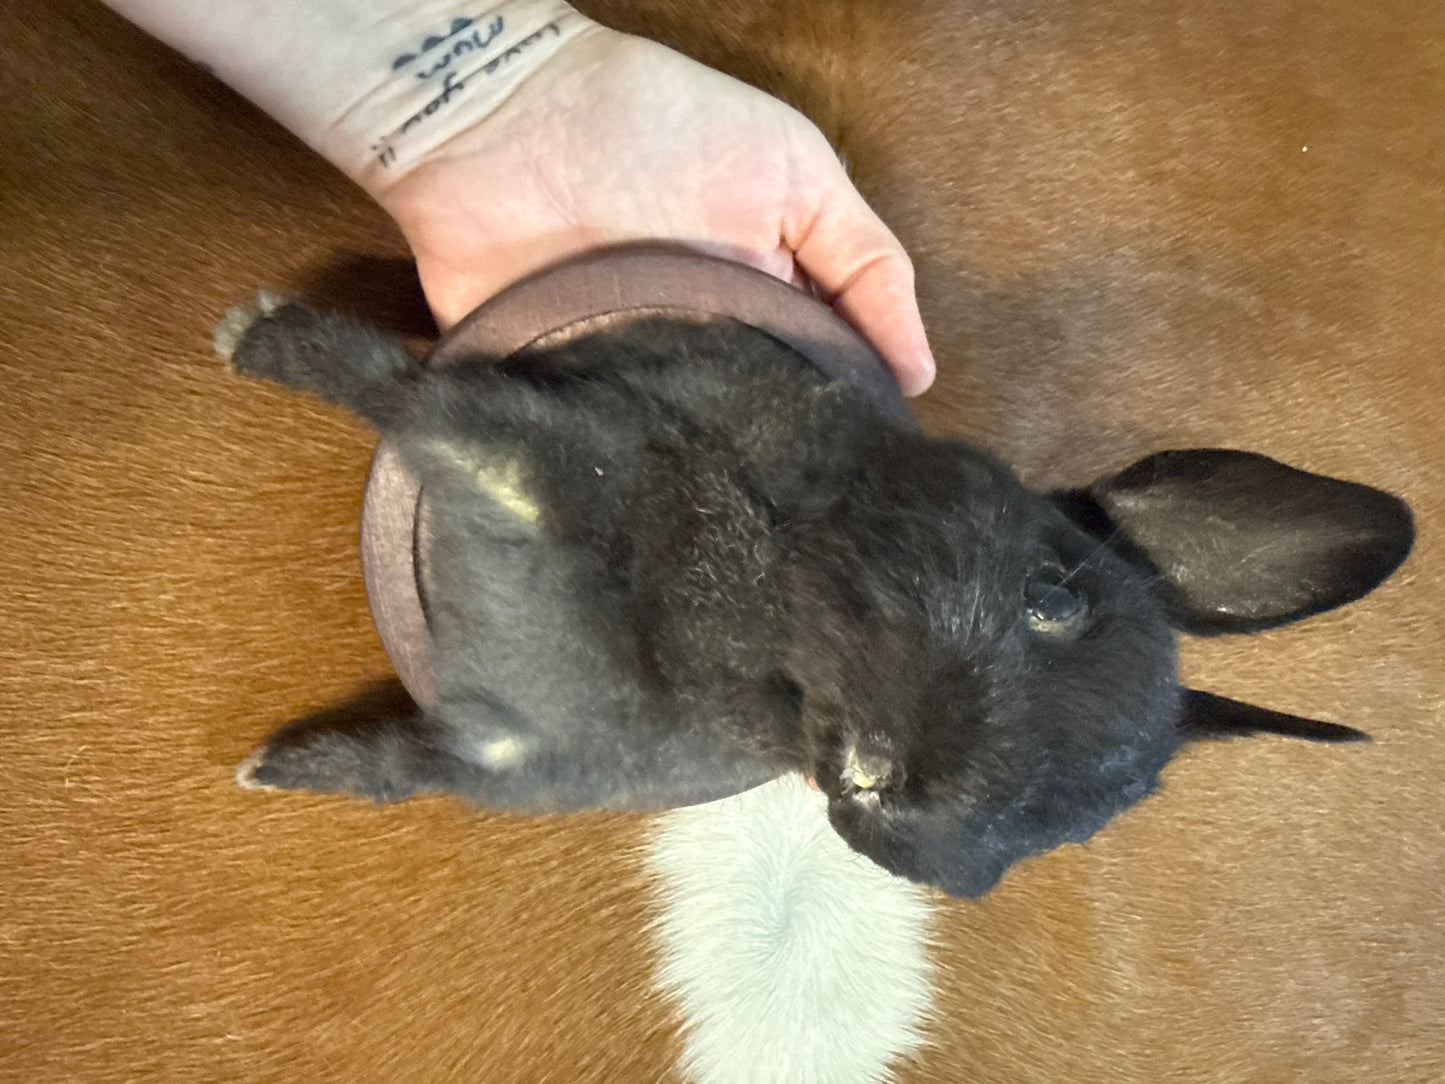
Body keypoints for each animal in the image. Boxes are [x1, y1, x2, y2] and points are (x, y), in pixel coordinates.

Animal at [216, 293, 1414, 898]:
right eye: (1051, 597)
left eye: (1066, 837)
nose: (886, 789)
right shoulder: (559, 443)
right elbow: (421, 395)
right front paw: (263, 337)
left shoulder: (513, 751)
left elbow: (403, 766)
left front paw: (284, 768)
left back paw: (275, 768)